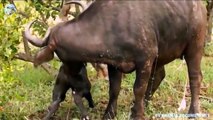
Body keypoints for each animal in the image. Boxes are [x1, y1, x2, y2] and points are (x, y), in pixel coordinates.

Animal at [24, 0, 207, 119]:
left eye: (58, 53)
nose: (66, 76)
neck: (110, 26)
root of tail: (201, 6)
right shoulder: (114, 64)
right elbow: (114, 89)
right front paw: (109, 114)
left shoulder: (145, 59)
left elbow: (138, 88)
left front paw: (137, 115)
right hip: (161, 55)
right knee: (159, 75)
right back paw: (145, 104)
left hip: (195, 46)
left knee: (195, 77)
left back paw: (193, 111)